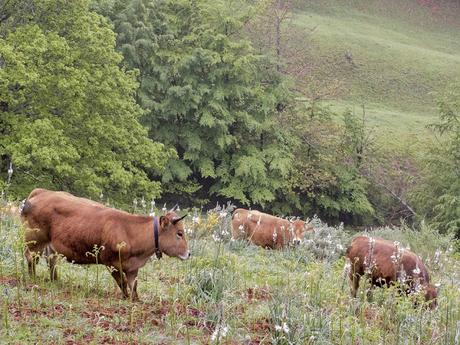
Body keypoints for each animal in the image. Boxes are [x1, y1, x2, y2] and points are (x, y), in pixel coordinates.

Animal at [20, 188, 190, 298]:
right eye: (179, 233)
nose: (189, 253)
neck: (129, 231)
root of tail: (41, 192)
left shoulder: (132, 268)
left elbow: (133, 288)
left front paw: (136, 301)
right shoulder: (111, 262)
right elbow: (122, 284)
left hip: (50, 245)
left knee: (51, 260)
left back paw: (55, 280)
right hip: (35, 240)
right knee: (31, 258)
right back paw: (33, 279)